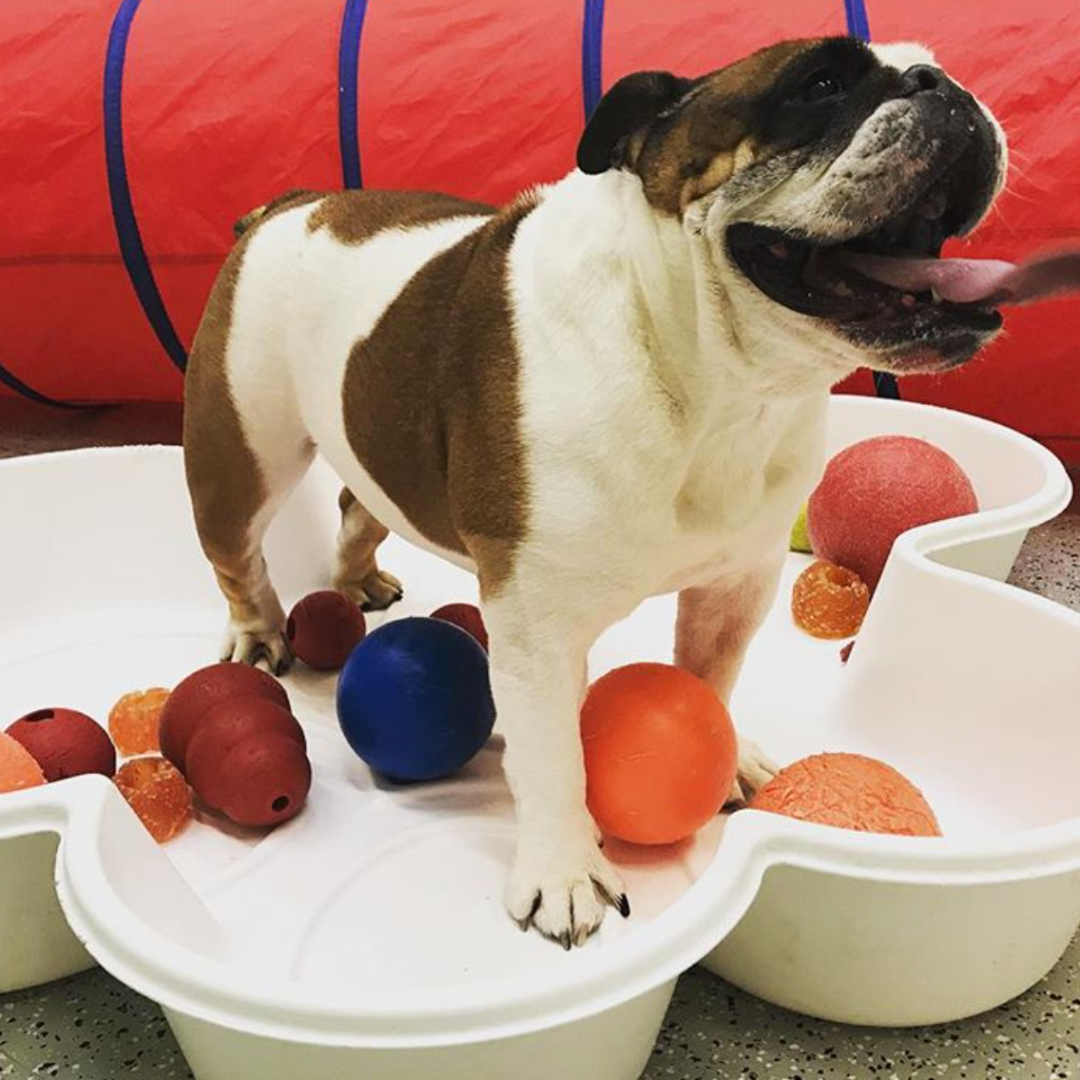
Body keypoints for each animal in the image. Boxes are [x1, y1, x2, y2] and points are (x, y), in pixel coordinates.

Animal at [183, 35, 1002, 946]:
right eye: (819, 84)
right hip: (240, 451)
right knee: (238, 556)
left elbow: (710, 680)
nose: (943, 86)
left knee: (360, 504)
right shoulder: (536, 634)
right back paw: (259, 635)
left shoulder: (737, 584)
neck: (714, 384)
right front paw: (563, 875)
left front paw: (725, 759)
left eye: (936, 65)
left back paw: (361, 580)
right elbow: (549, 760)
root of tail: (291, 206)